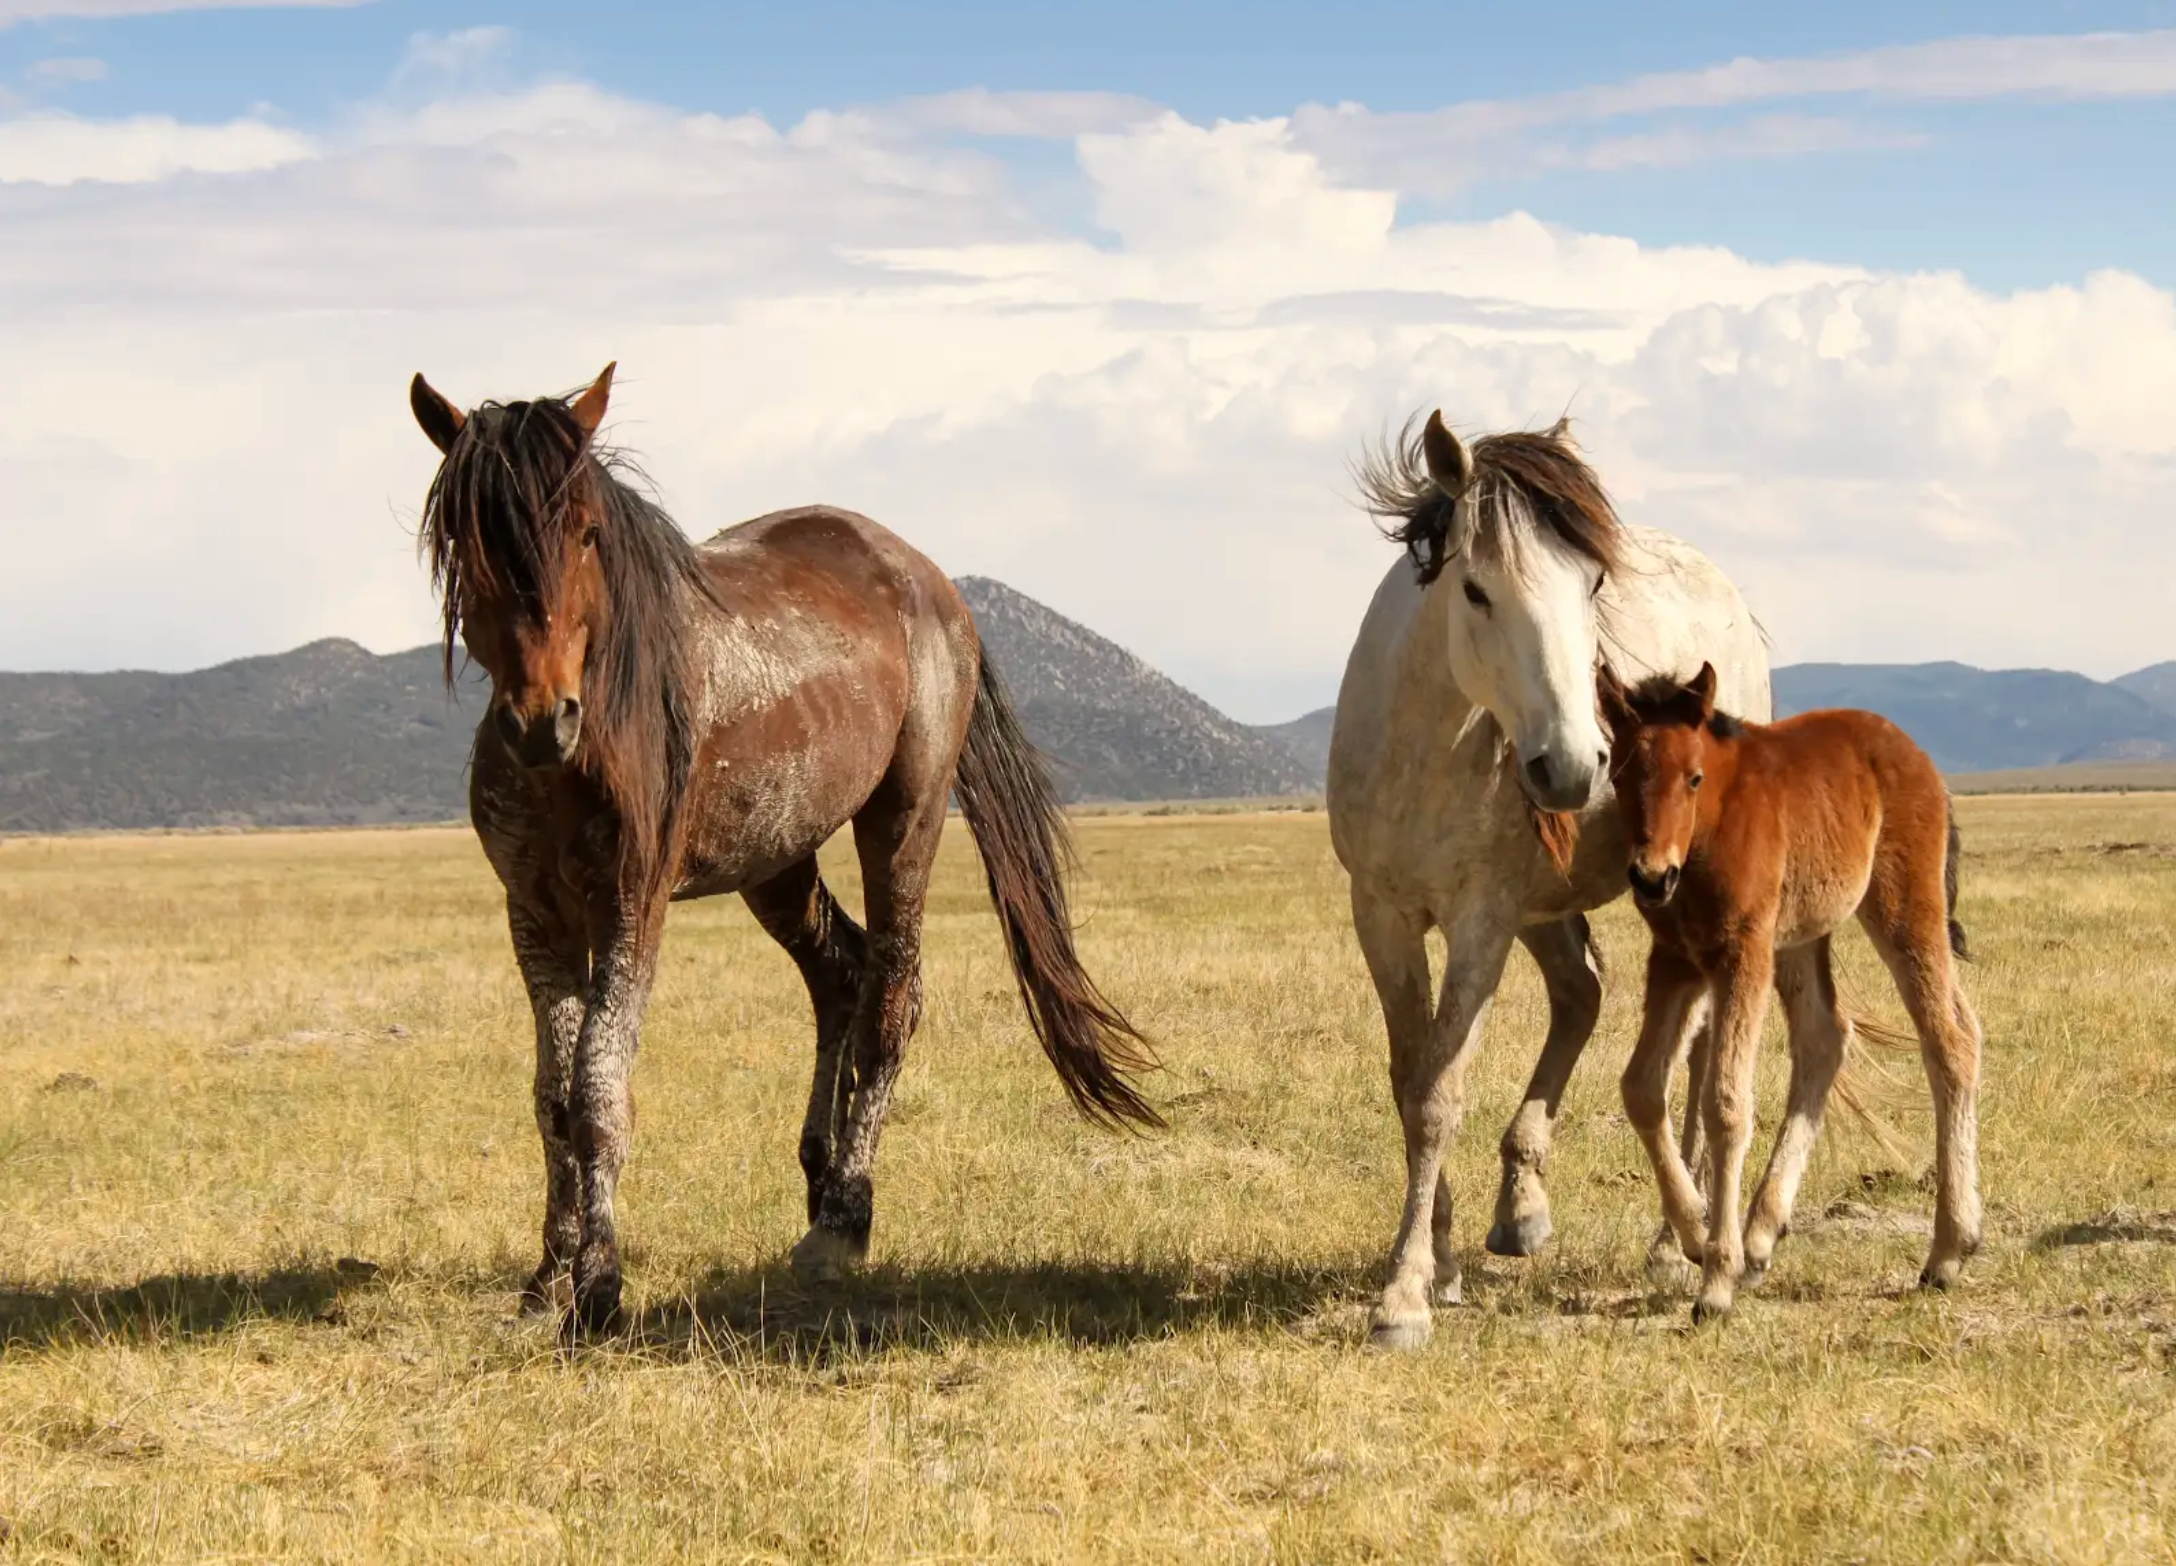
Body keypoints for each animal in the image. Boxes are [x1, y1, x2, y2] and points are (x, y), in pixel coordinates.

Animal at [407, 363, 1161, 1335]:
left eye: (585, 533)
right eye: (466, 541)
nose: (544, 721)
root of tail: (932, 581)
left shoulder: (630, 904)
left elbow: (601, 1090)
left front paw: (600, 1288)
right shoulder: (533, 912)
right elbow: (553, 1099)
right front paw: (546, 1281)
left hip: (903, 822)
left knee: (891, 1001)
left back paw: (843, 1220)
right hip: (777, 859)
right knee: (841, 974)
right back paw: (821, 1181)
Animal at [1330, 411, 1772, 1350]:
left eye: (1593, 585)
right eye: (1476, 590)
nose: (1575, 765)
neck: (1422, 752)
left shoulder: (1481, 921)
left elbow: (1438, 1095)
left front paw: (1403, 1297)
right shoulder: (1381, 915)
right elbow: (1408, 1080)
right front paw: (1441, 1260)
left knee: (1695, 1041)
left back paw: (1677, 1239)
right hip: (1545, 908)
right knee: (1583, 992)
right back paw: (1524, 1209)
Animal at [1598, 663, 1982, 1322]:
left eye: (1693, 777)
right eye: (1620, 774)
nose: (1651, 876)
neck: (1711, 831)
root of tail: (1918, 757)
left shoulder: (1741, 954)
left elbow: (1726, 1102)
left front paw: (1715, 1282)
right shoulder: (1676, 960)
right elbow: (1642, 1087)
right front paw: (1696, 1233)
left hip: (1902, 904)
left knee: (1949, 1041)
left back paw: (1947, 1252)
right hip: (1801, 934)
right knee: (1829, 1038)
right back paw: (1762, 1236)